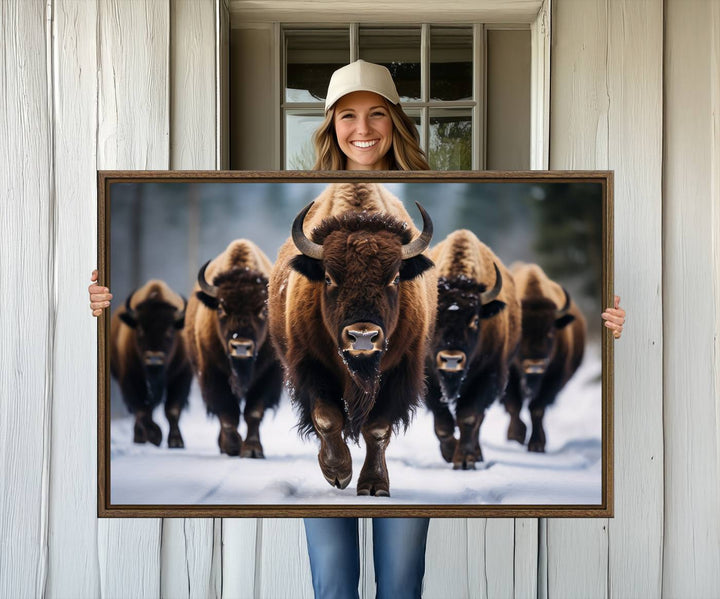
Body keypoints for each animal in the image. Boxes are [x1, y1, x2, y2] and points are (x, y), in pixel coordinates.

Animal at [109, 278, 191, 448]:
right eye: (140, 330)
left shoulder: (181, 376)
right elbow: (142, 409)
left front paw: (176, 442)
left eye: (170, 331)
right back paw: (140, 438)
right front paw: (155, 435)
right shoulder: (130, 379)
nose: (154, 358)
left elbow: (172, 410)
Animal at [184, 241, 282, 458]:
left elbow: (253, 412)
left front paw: (252, 450)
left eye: (263, 310)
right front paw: (233, 446)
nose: (241, 346)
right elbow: (228, 412)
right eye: (221, 308)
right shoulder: (214, 374)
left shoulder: (267, 375)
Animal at [268, 183, 436, 496]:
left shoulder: (399, 372)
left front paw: (374, 485)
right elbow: (326, 418)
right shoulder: (311, 366)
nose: (363, 337)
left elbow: (378, 429)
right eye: (329, 278)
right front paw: (338, 472)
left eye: (395, 278)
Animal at [424, 232, 520, 472]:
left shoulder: (487, 376)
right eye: (435, 317)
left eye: (475, 320)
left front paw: (465, 459)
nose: (451, 359)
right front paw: (450, 453)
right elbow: (443, 423)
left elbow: (468, 418)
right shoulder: (430, 379)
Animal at [504, 260, 588, 452]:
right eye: (521, 331)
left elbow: (537, 409)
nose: (535, 364)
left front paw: (536, 444)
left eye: (550, 331)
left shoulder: (552, 379)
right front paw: (515, 436)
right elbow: (514, 405)